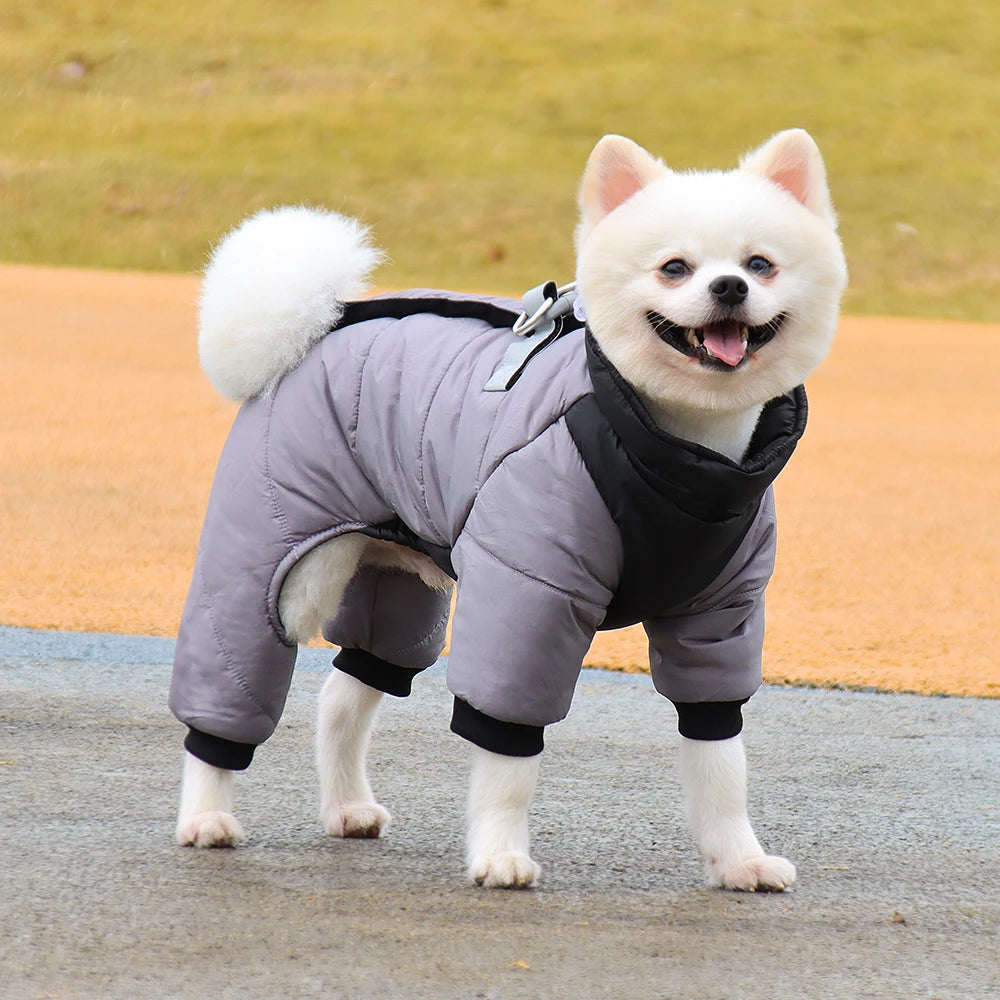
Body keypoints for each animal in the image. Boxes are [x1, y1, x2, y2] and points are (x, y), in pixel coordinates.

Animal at [170, 127, 844, 892]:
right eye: (675, 268)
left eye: (761, 264)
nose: (730, 286)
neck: (679, 455)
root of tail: (315, 328)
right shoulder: (527, 599)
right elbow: (508, 755)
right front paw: (499, 853)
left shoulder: (718, 619)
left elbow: (720, 759)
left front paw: (737, 858)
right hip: (274, 567)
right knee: (232, 674)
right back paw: (206, 812)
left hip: (394, 582)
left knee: (347, 692)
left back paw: (346, 807)